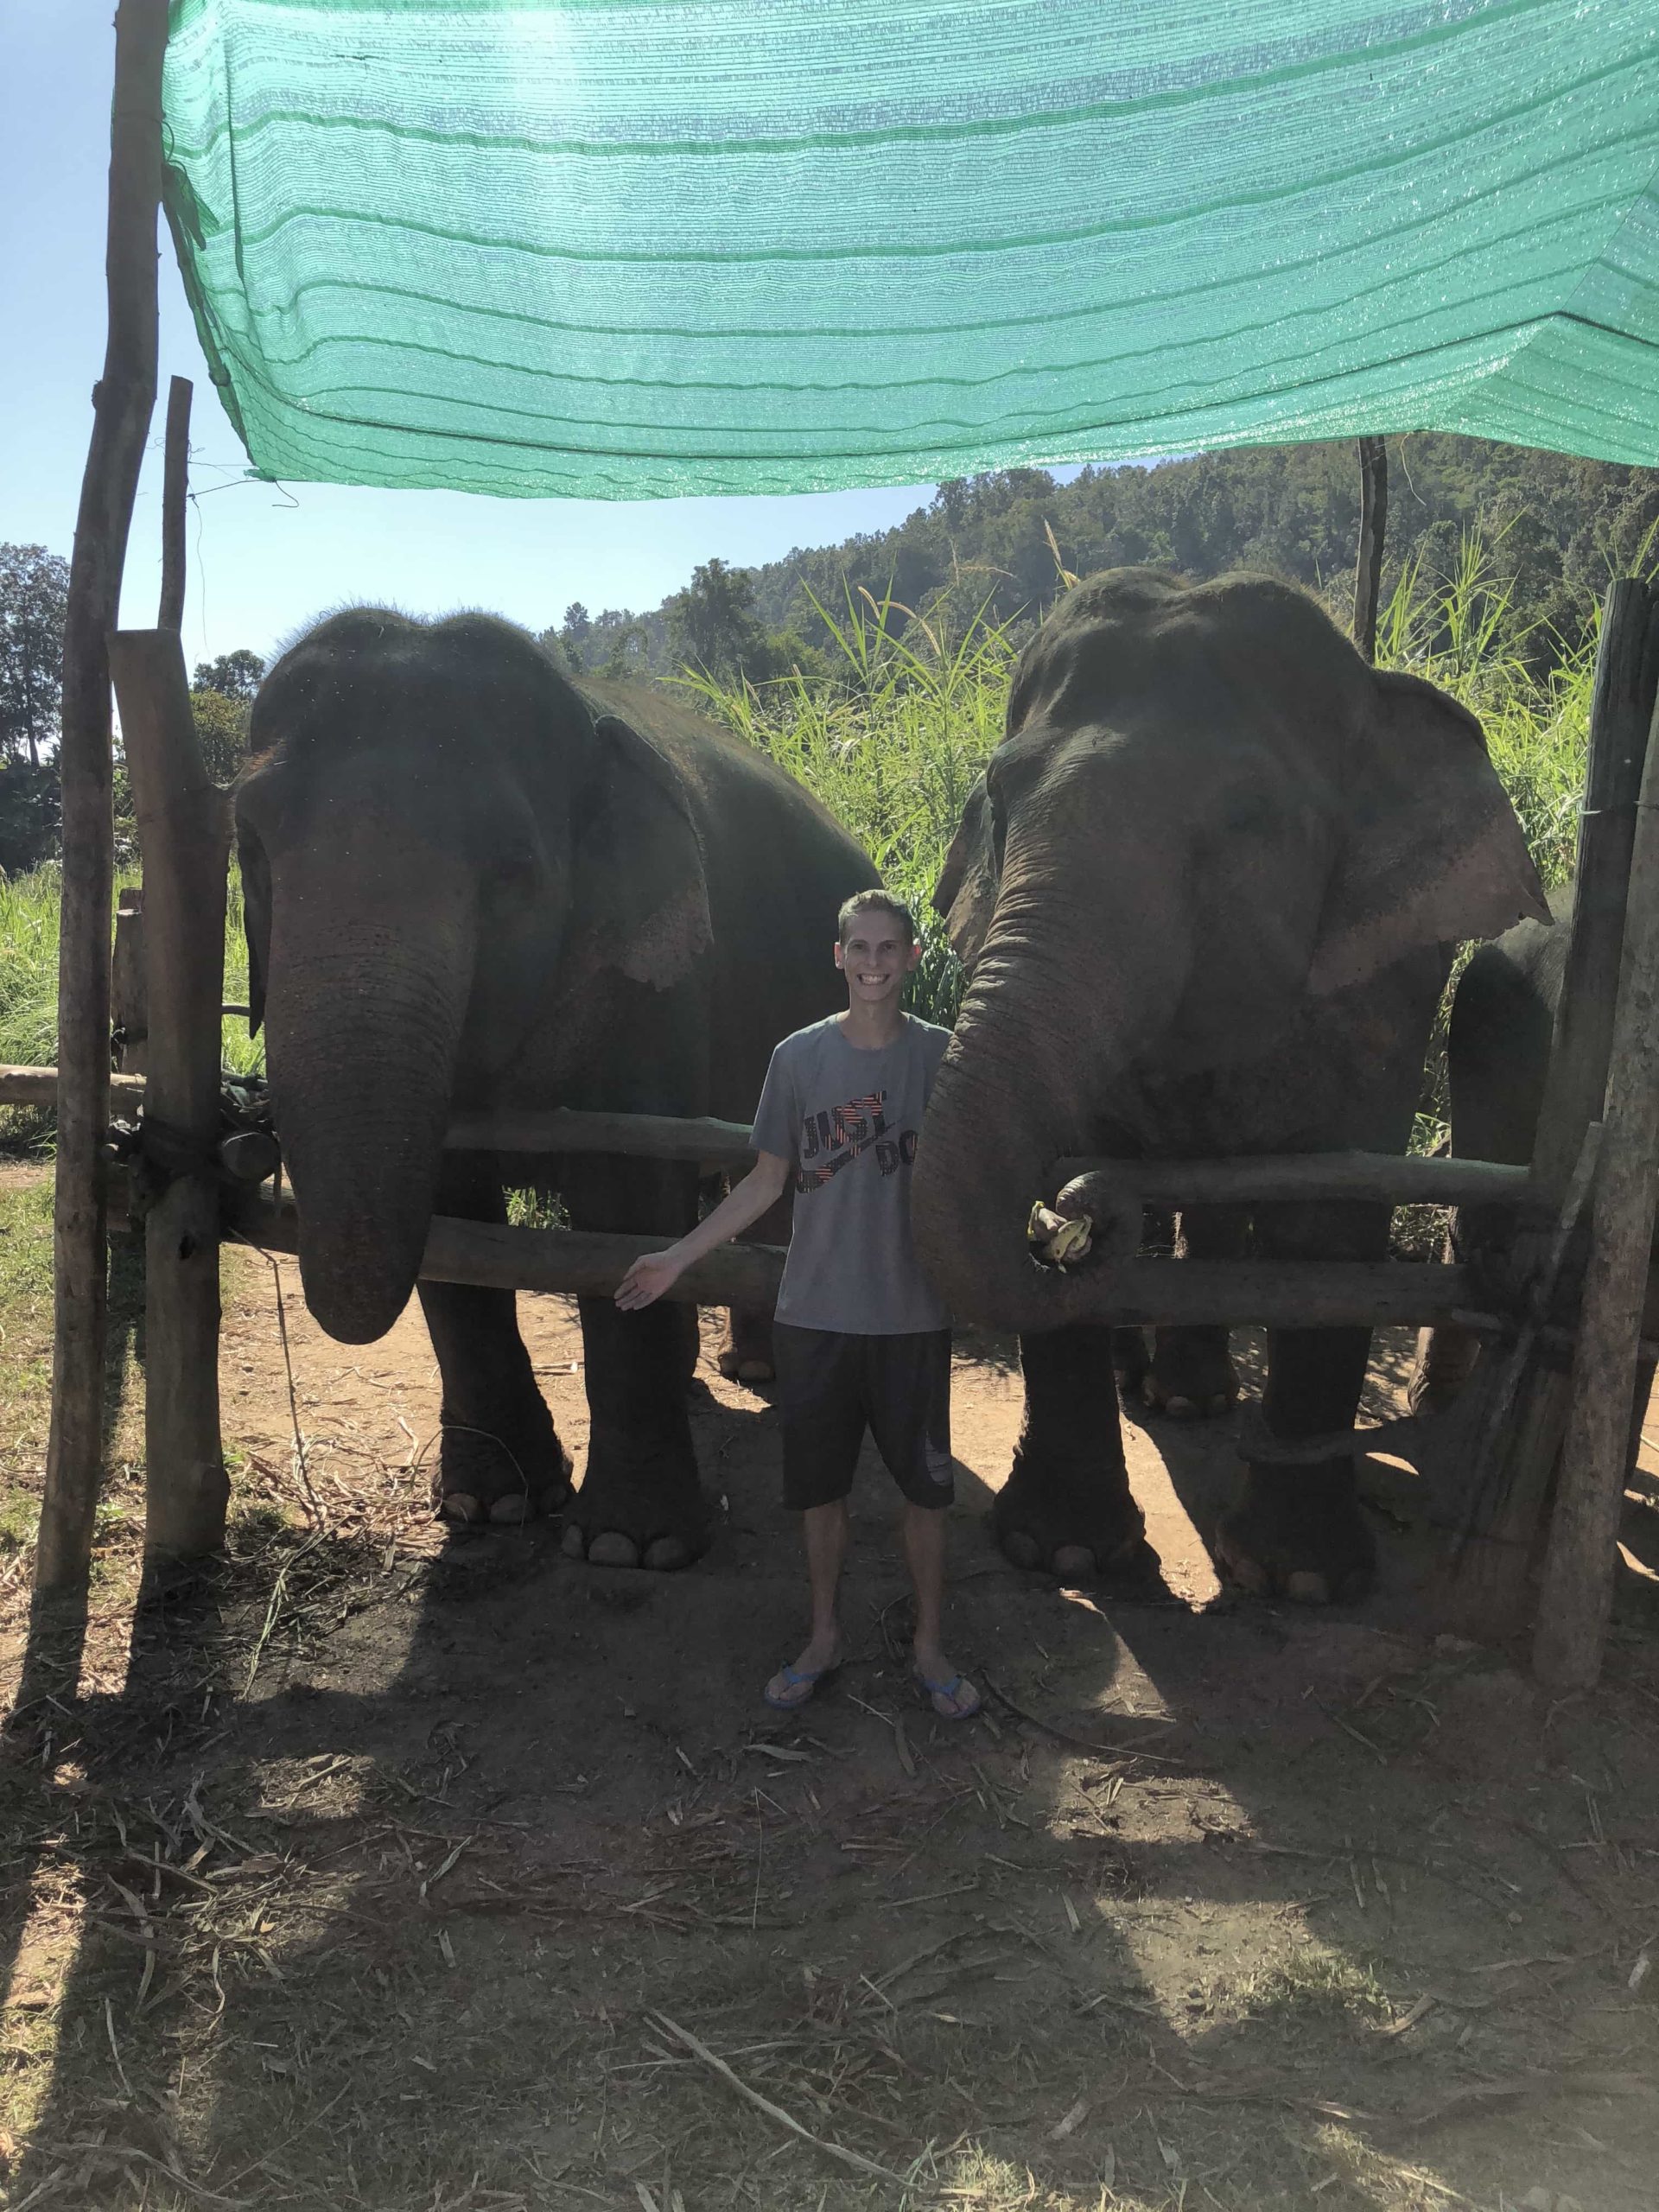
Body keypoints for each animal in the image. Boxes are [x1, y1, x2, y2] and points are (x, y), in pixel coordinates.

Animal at [242, 614, 885, 1566]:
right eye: (249, 845)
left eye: (514, 874)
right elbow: (451, 1218)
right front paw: (493, 1504)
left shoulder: (654, 984)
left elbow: (627, 1201)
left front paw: (630, 1546)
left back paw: (762, 1372)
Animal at [915, 570, 1557, 1610]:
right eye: (999, 796)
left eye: (1249, 815)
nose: (1074, 1227)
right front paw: (1064, 1557)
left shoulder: (1387, 982)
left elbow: (1330, 1223)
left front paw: (1303, 1580)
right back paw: (1163, 1386)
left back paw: (1190, 1396)